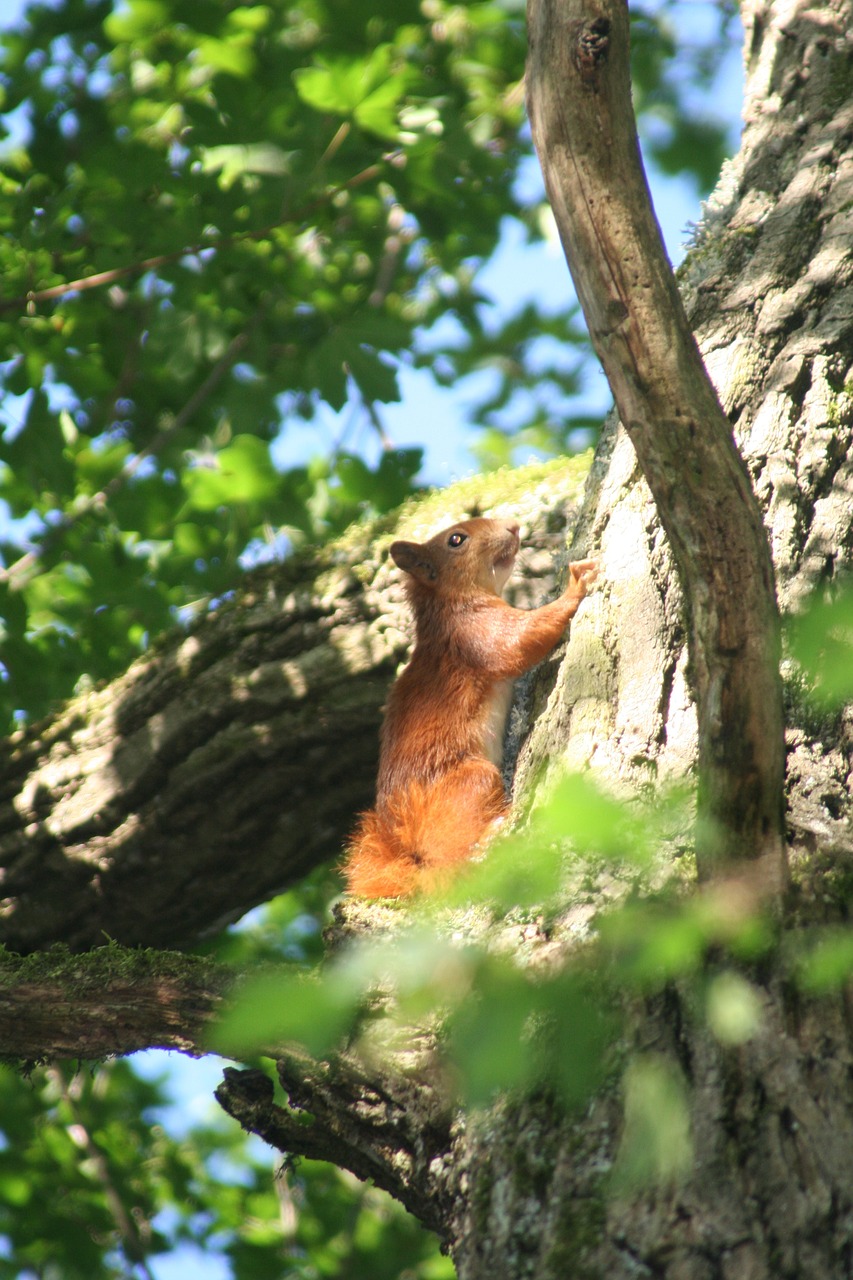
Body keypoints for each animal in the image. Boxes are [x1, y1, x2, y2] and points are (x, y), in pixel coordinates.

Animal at [343, 514, 594, 896]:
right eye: (456, 540)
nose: (513, 526)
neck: (450, 602)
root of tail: (414, 846)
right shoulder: (472, 632)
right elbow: (518, 641)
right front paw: (575, 587)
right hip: (471, 782)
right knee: (451, 862)